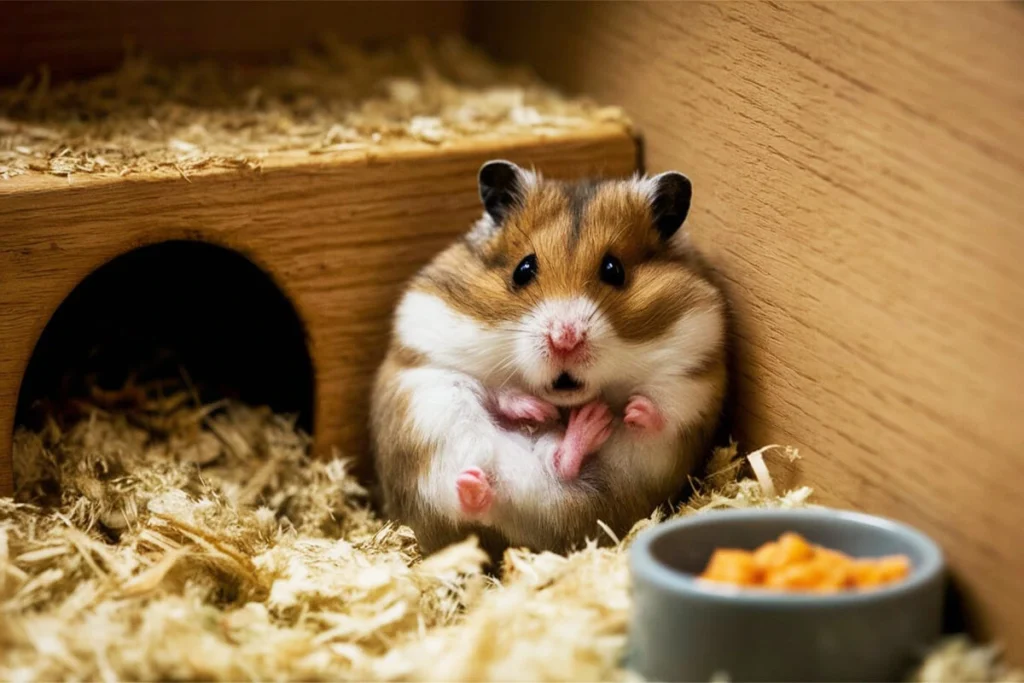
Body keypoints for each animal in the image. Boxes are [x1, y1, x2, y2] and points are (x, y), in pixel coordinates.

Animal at [368, 160, 729, 561]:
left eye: (614, 270)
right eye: (523, 269)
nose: (564, 339)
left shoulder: (695, 373)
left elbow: (663, 409)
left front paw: (633, 410)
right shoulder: (427, 341)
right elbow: (496, 387)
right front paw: (537, 410)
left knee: (559, 466)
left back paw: (587, 426)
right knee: (474, 498)